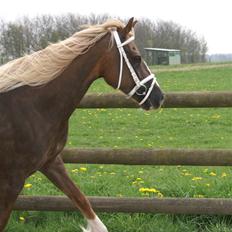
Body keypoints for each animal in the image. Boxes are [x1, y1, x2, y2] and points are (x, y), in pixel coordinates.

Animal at [0, 17, 163, 231]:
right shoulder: (12, 180)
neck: (32, 105)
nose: (159, 97)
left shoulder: (51, 163)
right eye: (136, 57)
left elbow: (85, 204)